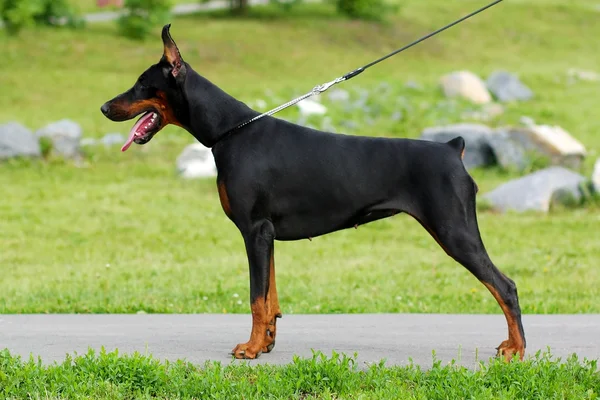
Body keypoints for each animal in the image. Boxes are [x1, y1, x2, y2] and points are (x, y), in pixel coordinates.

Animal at [99, 25, 524, 362]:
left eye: (141, 83)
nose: (103, 107)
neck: (230, 131)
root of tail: (452, 148)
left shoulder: (254, 230)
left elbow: (255, 298)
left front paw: (249, 349)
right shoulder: (266, 234)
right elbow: (269, 297)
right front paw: (266, 343)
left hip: (455, 231)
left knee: (505, 286)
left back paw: (516, 349)